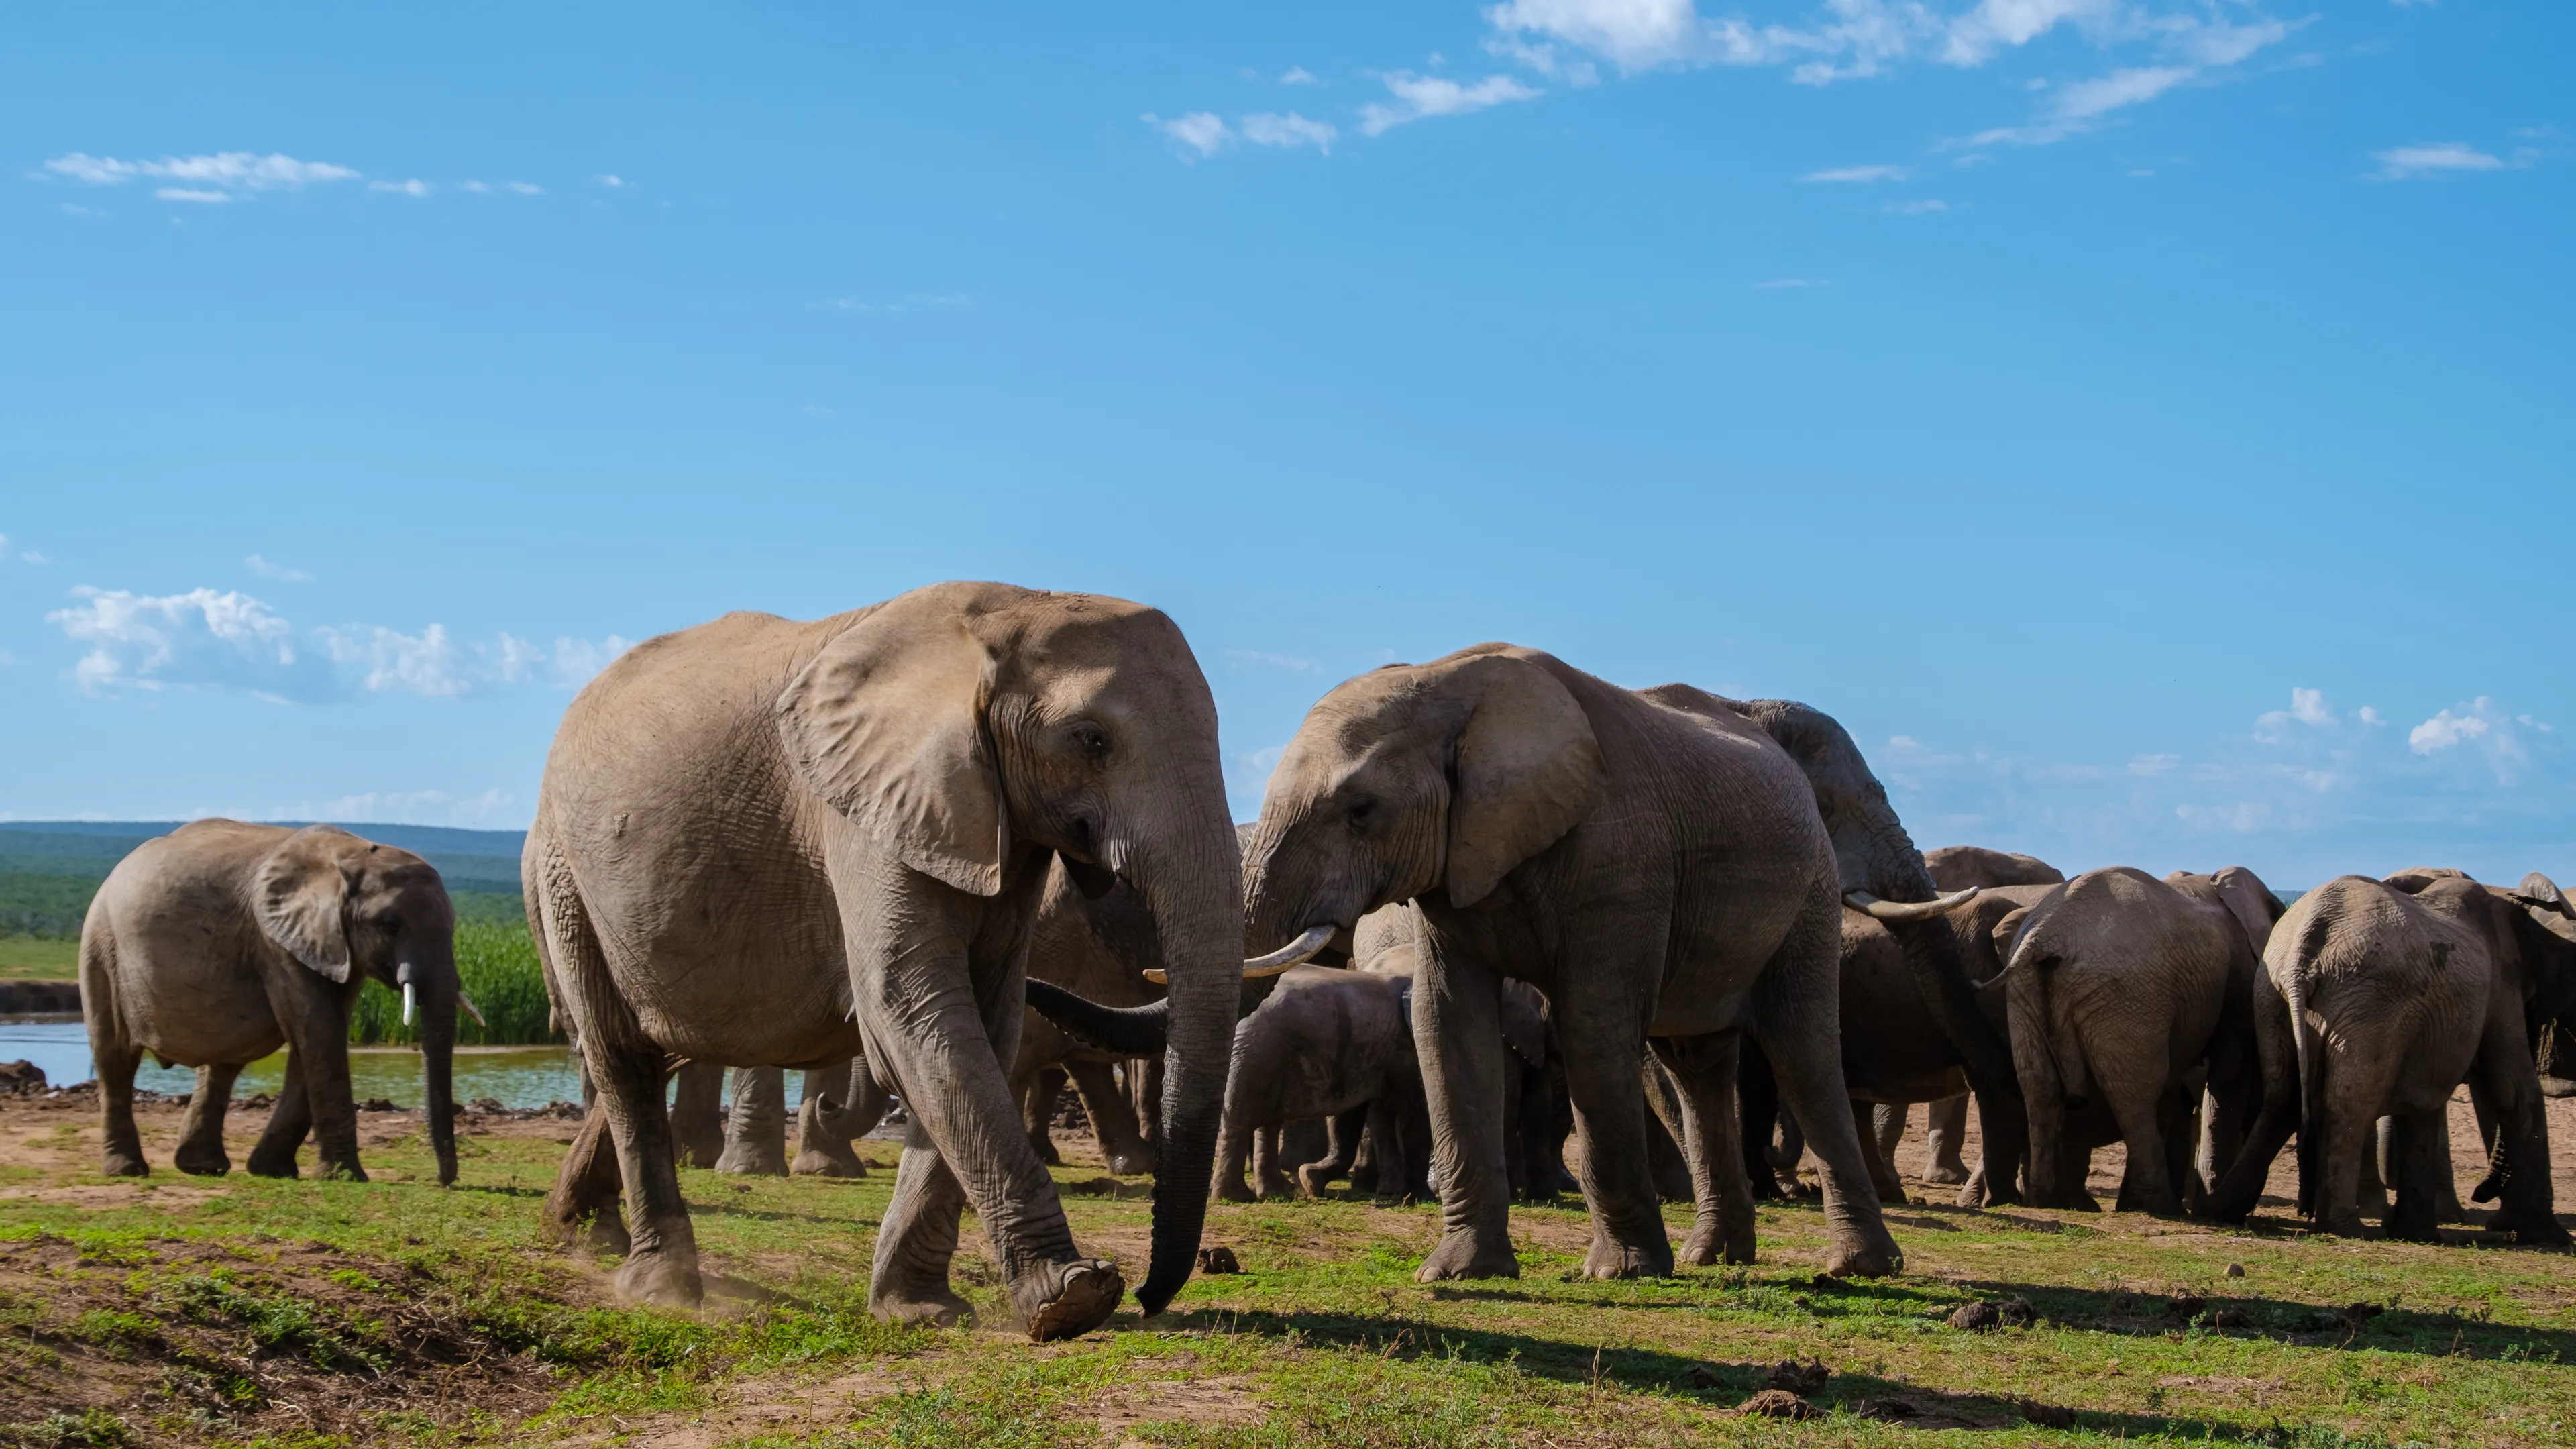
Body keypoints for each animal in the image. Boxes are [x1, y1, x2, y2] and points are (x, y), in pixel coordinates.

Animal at [78, 820, 464, 1181]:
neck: (348, 856)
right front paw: (344, 1177)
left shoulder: (334, 947)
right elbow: (319, 1031)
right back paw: (127, 1170)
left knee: (221, 1065)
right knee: (115, 1057)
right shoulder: (275, 942)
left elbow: (319, 1034)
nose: (443, 1181)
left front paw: (273, 1171)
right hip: (100, 947)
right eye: (390, 925)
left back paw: (202, 1167)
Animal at [525, 577, 1288, 1330]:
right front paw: (1073, 1298)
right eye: (1091, 739)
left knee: (662, 1044)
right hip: (564, 878)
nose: (1148, 1297)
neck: (1013, 607)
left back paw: (579, 1230)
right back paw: (661, 1288)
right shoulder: (867, 804)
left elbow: (983, 1022)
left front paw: (920, 1311)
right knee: (621, 1054)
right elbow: (914, 1011)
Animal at [1226, 642, 1916, 1273]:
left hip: (1810, 897)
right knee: (1696, 1067)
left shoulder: (1620, 860)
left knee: (1801, 1053)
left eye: (1361, 811)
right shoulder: (1456, 863)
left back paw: (1861, 1267)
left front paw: (1624, 1271)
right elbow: (1449, 1027)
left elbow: (1593, 1028)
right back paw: (1714, 1257)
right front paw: (1460, 1271)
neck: (1449, 681)